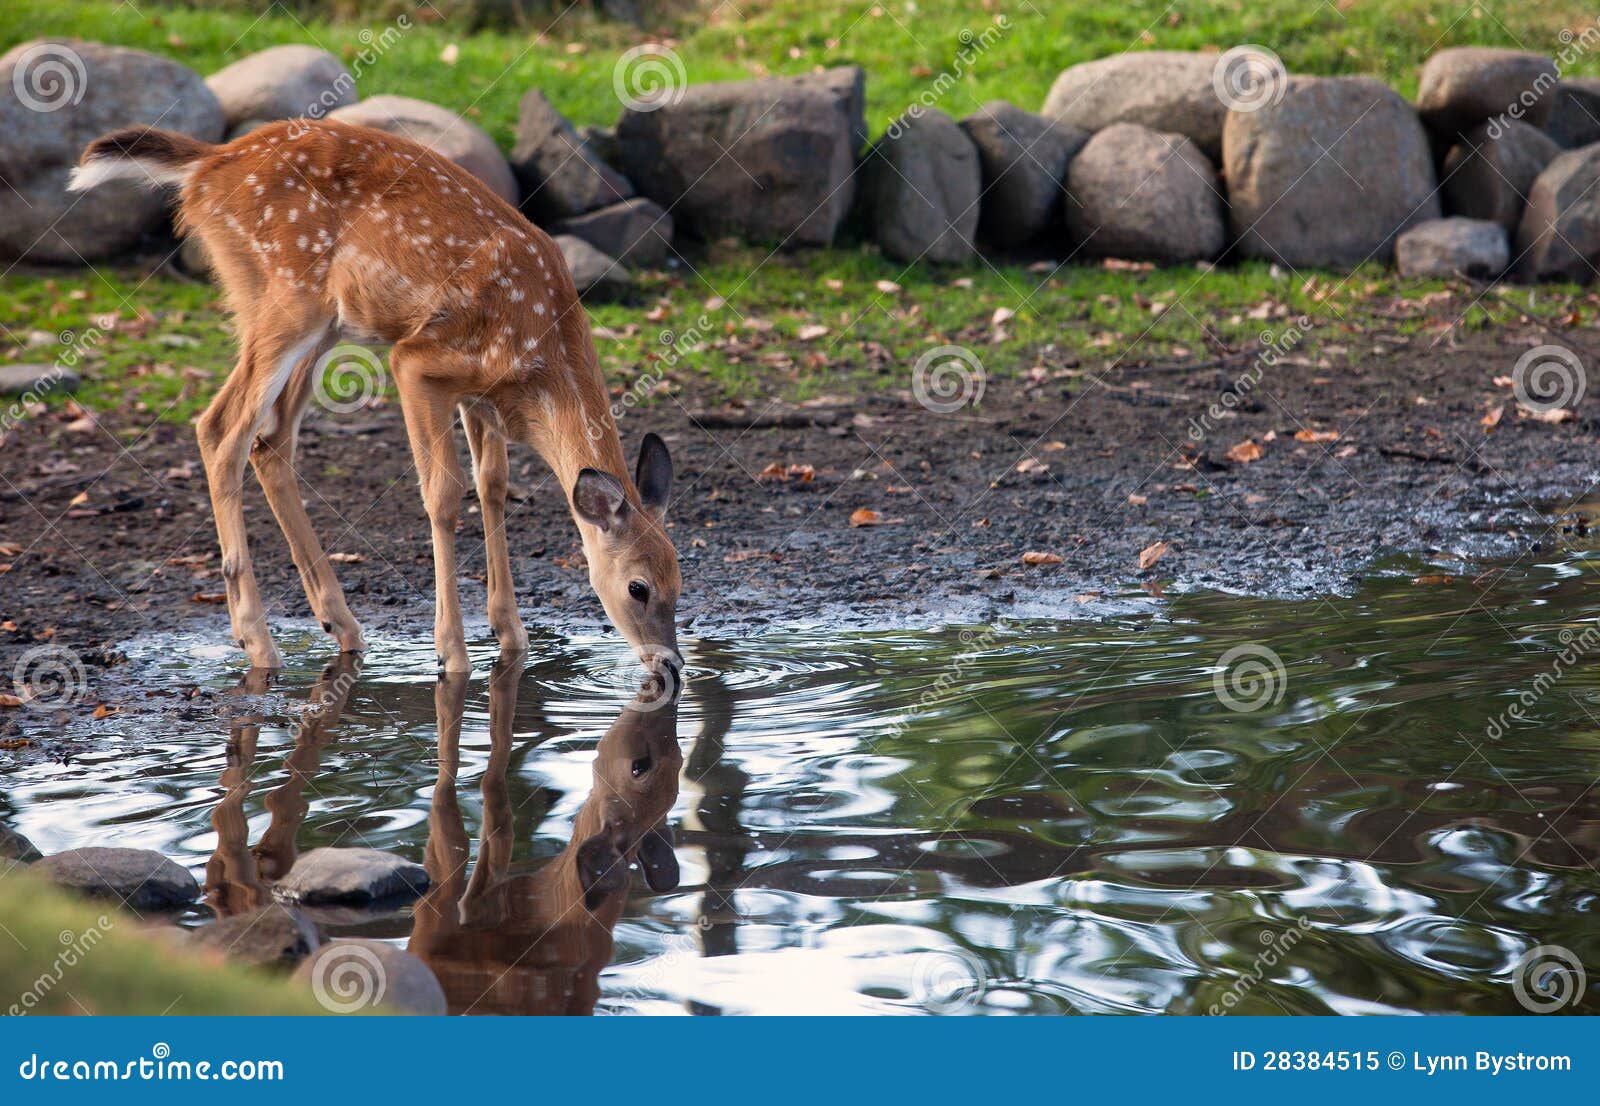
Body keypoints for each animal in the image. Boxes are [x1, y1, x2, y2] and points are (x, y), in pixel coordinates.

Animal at [68, 119, 680, 675]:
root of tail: (209, 164)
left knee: (271, 442)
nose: (670, 665)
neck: (540, 359)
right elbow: (444, 493)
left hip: (322, 323)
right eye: (638, 588)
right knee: (222, 427)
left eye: (680, 577)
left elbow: (493, 486)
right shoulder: (419, 361)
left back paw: (339, 625)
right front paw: (452, 653)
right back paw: (258, 643)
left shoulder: (480, 397)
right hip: (285, 294)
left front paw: (511, 637)